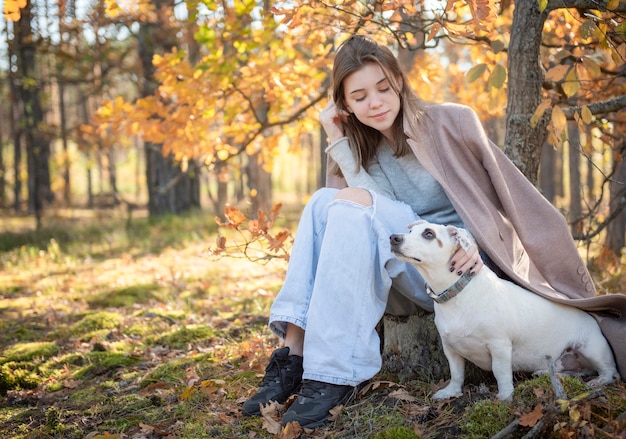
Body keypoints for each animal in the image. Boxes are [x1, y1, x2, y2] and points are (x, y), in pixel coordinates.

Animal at [388, 220, 616, 402]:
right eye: (410, 230)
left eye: (429, 234)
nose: (393, 238)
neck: (457, 294)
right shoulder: (450, 348)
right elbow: (456, 373)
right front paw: (451, 392)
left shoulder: (499, 345)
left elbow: (500, 372)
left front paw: (505, 396)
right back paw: (546, 372)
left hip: (592, 349)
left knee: (610, 372)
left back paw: (598, 382)